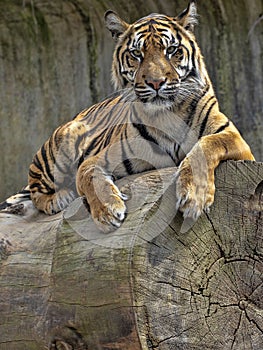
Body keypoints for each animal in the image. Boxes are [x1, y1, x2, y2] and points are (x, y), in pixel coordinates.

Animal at [0, 1, 256, 234]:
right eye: (136, 54)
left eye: (171, 50)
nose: (155, 82)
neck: (168, 115)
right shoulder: (101, 157)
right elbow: (87, 175)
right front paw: (107, 212)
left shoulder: (237, 141)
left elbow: (206, 145)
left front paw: (195, 198)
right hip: (64, 140)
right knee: (36, 190)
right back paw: (59, 198)